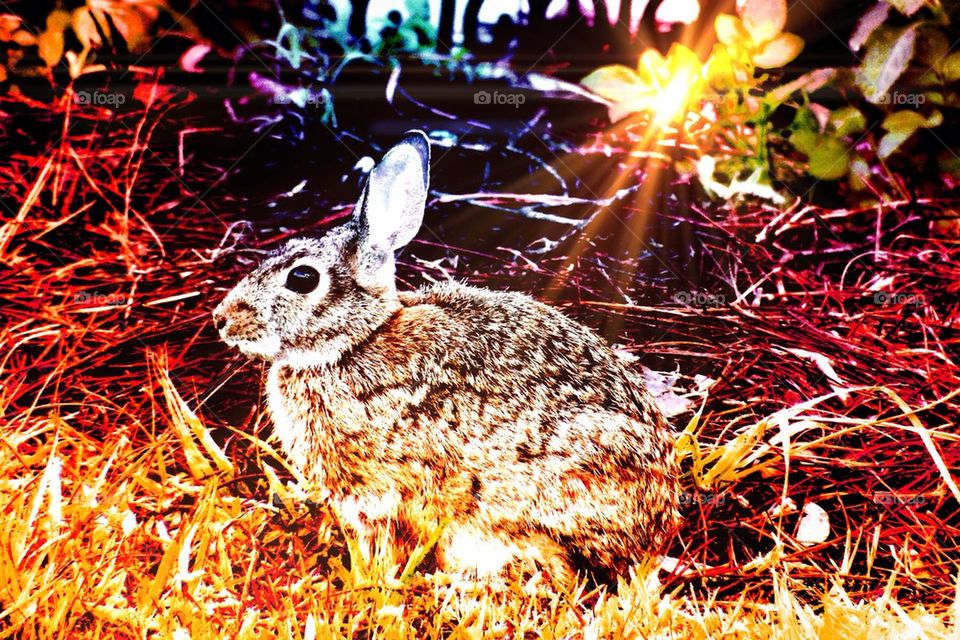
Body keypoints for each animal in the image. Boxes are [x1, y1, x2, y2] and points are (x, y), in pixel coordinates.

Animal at [212, 130, 680, 583]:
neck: (354, 341)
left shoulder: (381, 493)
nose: (222, 319)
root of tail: (653, 537)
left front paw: (372, 580)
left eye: (303, 278)